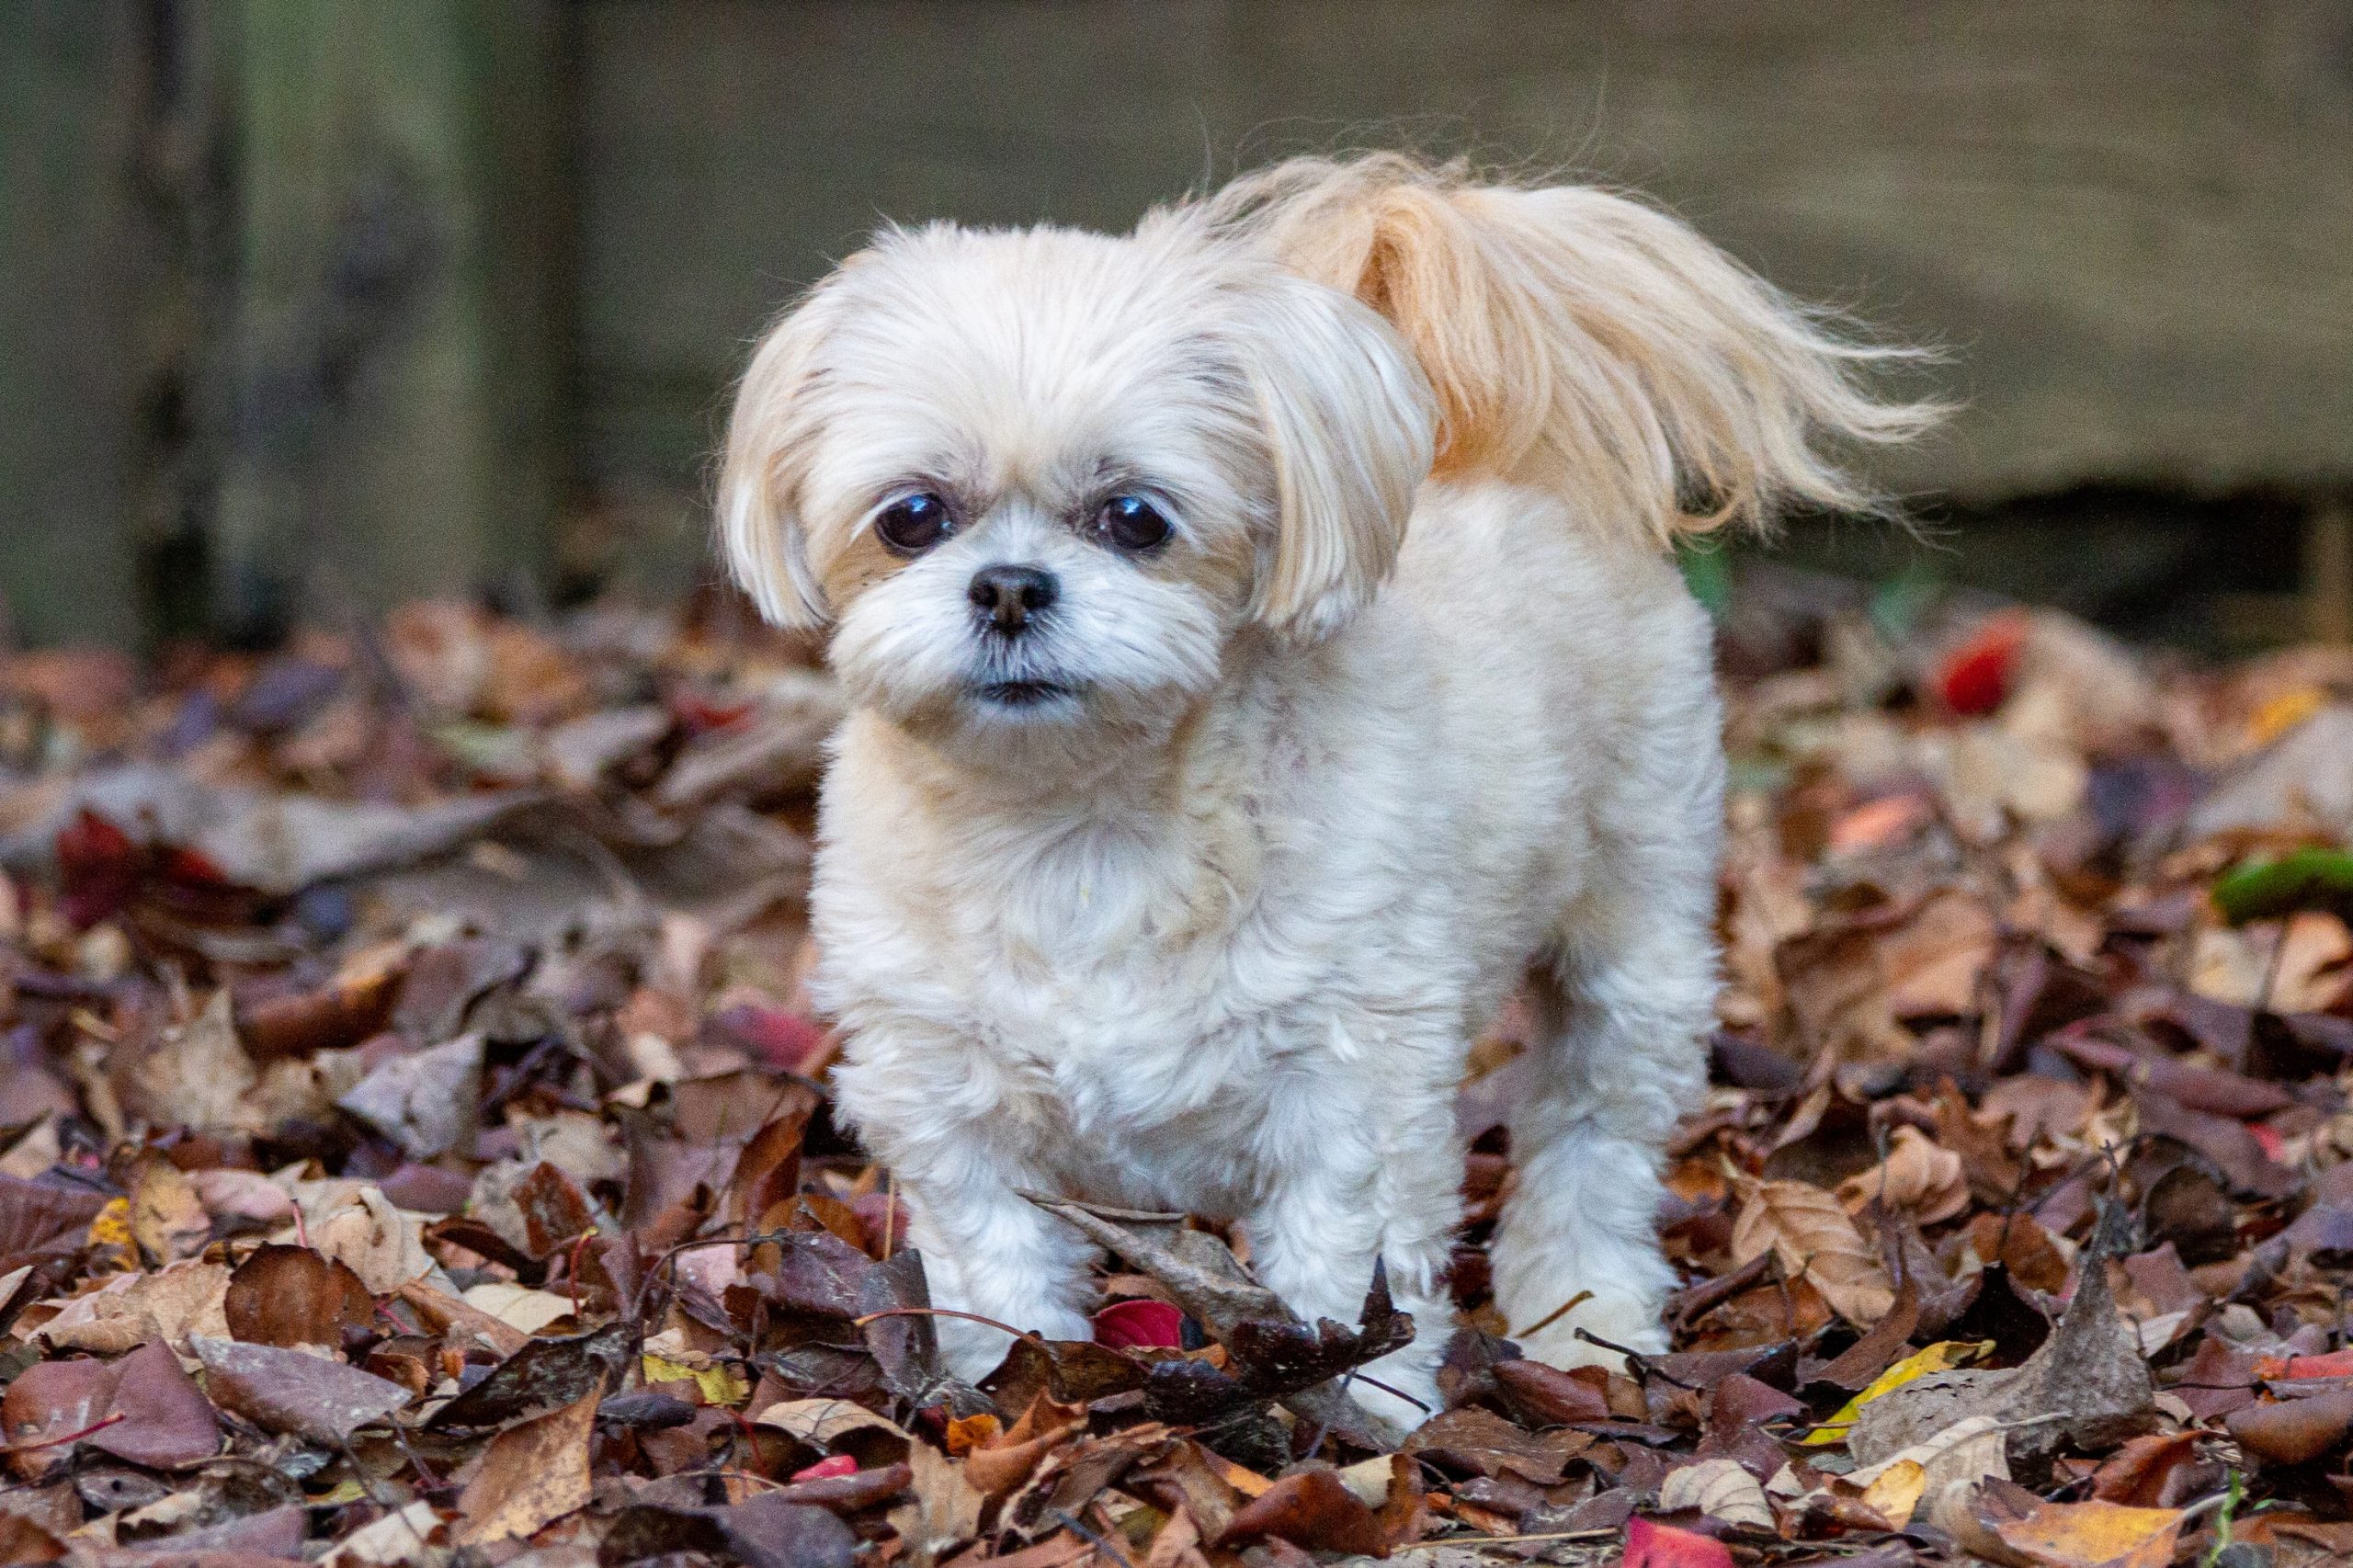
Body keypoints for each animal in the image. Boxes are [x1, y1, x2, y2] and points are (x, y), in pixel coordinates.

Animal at [715, 153, 1929, 1412]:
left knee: (1590, 1138)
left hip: (1634, 931)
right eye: (912, 515)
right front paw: (1011, 1384)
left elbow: (1346, 1271)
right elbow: (994, 1265)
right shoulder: (945, 1099)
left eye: (1136, 516)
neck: (1083, 829)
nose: (1007, 585)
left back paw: (1584, 1318)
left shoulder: (1353, 1088)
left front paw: (1368, 1422)